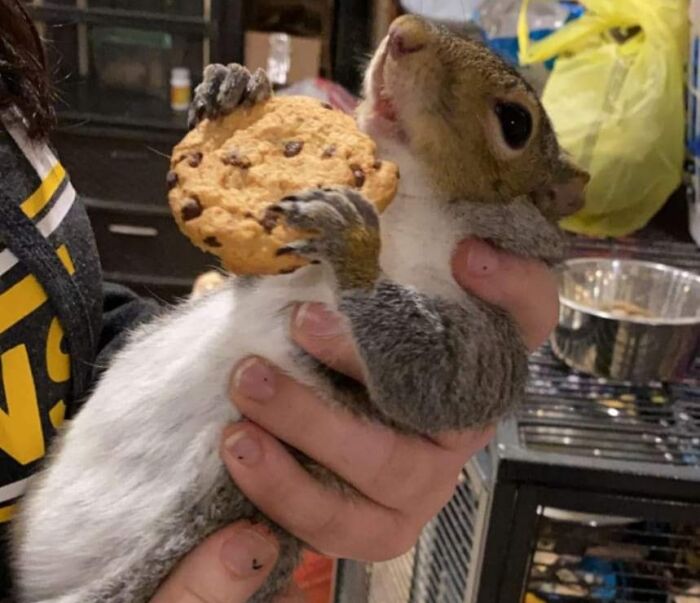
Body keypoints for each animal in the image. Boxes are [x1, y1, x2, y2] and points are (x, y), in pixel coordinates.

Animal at [12, 15, 588, 603]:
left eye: (515, 123)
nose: (404, 30)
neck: (407, 207)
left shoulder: (490, 334)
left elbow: (442, 383)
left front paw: (353, 240)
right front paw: (234, 84)